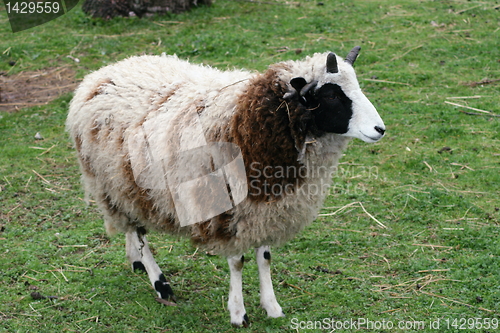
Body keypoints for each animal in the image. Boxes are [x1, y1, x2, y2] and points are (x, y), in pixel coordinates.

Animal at [66, 47, 384, 326]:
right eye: (331, 94)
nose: (380, 129)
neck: (252, 120)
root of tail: (100, 74)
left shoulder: (263, 208)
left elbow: (265, 257)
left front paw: (272, 307)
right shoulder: (229, 208)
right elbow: (237, 262)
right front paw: (238, 314)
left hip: (128, 185)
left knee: (132, 227)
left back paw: (135, 261)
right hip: (114, 182)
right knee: (139, 232)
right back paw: (160, 283)